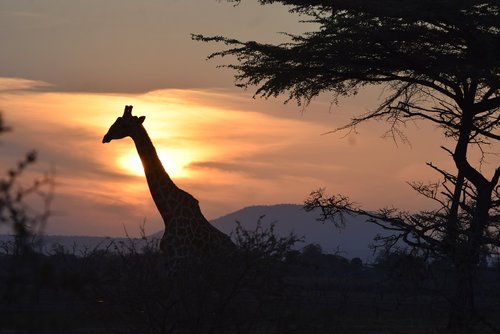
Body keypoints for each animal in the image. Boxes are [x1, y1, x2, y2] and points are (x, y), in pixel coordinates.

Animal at [103, 105, 234, 268]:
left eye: (125, 125)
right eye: (117, 120)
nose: (106, 137)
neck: (168, 213)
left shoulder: (178, 257)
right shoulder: (167, 258)